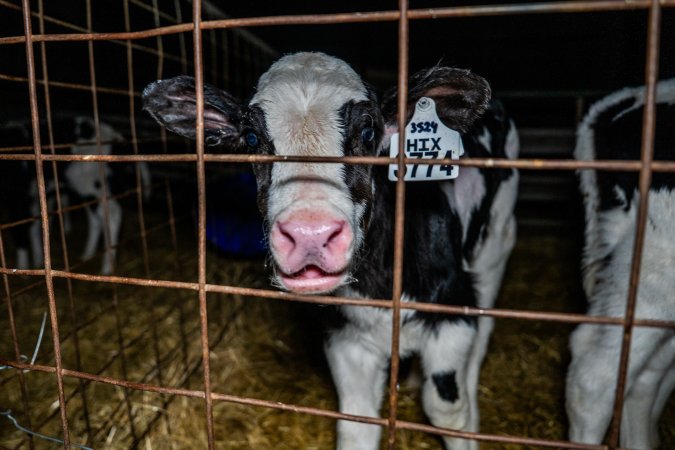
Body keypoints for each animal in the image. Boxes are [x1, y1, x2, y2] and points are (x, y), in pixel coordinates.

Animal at [142, 52, 519, 450]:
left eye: (368, 131)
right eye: (251, 137)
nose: (310, 234)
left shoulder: (450, 314)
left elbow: (447, 412)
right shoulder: (345, 337)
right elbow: (357, 423)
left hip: (497, 244)